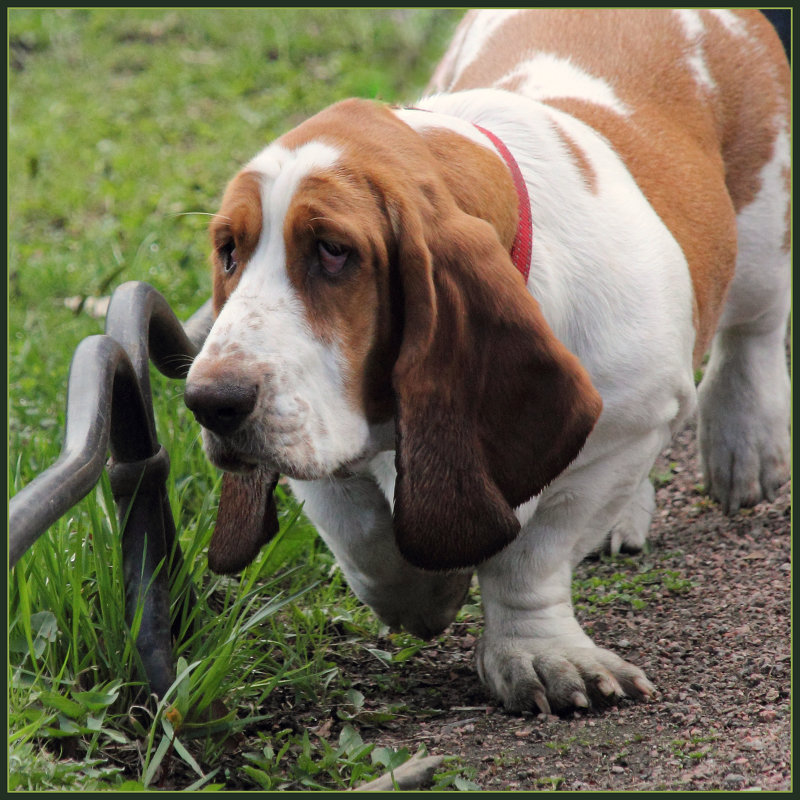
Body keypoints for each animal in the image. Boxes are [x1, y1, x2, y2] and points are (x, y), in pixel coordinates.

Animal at [184, 9, 792, 712]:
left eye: (333, 250)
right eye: (229, 250)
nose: (210, 403)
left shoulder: (625, 426)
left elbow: (530, 557)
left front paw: (540, 657)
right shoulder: (319, 441)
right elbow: (363, 537)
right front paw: (425, 588)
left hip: (761, 228)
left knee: (753, 329)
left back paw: (744, 448)